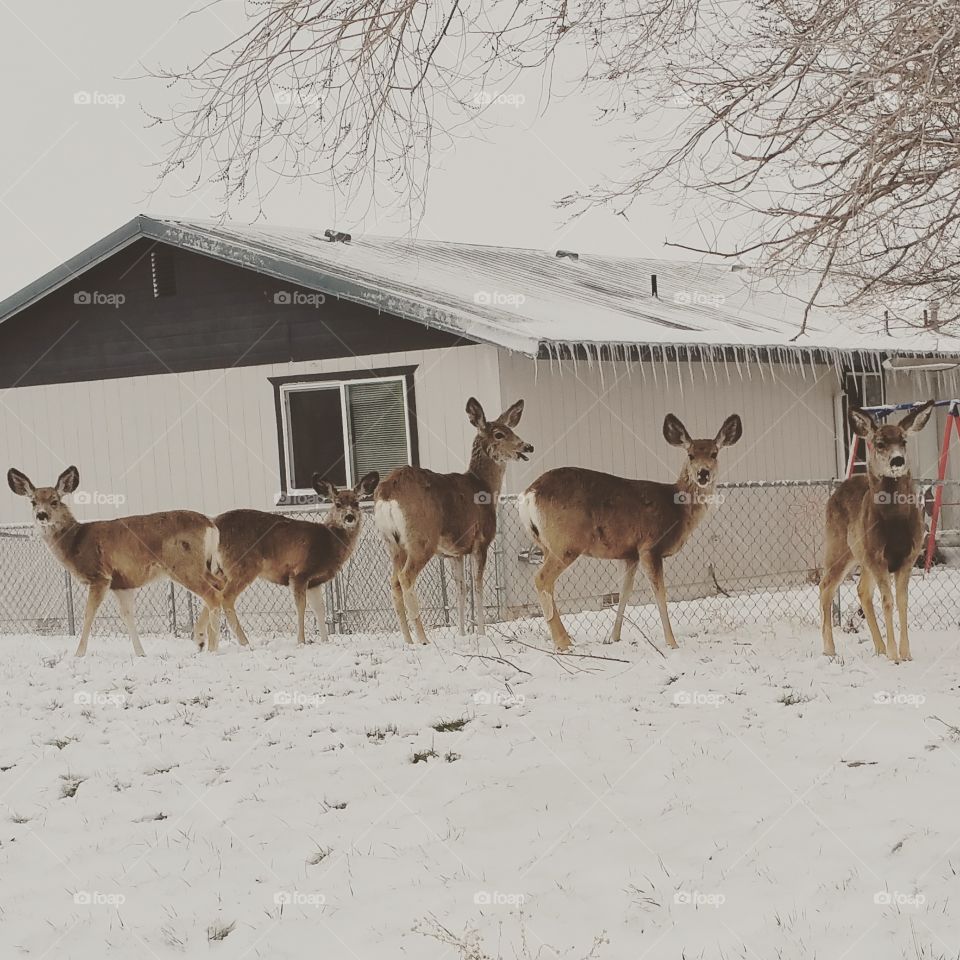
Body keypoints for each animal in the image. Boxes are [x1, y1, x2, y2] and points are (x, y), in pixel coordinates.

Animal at [6, 465, 224, 657]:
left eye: (54, 501)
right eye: (33, 502)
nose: (41, 515)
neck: (75, 541)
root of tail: (210, 525)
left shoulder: (100, 576)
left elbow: (88, 614)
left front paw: (78, 654)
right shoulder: (122, 584)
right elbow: (127, 616)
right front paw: (140, 653)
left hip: (183, 564)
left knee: (212, 594)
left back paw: (210, 647)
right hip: (204, 565)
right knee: (220, 586)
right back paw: (202, 640)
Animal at [193, 472, 380, 649]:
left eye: (356, 503)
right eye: (338, 503)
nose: (349, 517)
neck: (329, 542)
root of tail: (214, 526)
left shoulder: (315, 582)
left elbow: (319, 609)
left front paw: (325, 641)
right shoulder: (300, 573)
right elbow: (301, 607)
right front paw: (301, 641)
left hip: (220, 570)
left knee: (211, 597)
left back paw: (208, 646)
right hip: (242, 565)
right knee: (225, 597)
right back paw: (245, 643)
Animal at [374, 397, 533, 645]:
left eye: (511, 429)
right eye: (499, 434)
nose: (527, 447)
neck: (484, 487)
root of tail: (388, 491)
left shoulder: (453, 553)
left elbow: (461, 590)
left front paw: (461, 634)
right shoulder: (481, 541)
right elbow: (477, 586)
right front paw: (481, 633)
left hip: (392, 543)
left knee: (394, 581)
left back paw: (408, 641)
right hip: (421, 539)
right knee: (406, 577)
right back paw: (423, 639)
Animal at [518, 413, 743, 651]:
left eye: (714, 453)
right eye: (690, 455)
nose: (703, 473)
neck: (678, 508)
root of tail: (529, 493)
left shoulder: (629, 554)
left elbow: (624, 592)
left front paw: (613, 637)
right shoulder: (650, 546)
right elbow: (660, 594)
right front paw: (672, 643)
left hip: (545, 545)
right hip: (566, 543)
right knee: (541, 578)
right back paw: (563, 643)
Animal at [819, 401, 935, 663]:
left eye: (903, 440)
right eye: (879, 442)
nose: (897, 460)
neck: (895, 522)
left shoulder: (908, 556)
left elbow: (902, 601)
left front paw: (905, 653)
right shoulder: (877, 556)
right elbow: (888, 600)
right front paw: (894, 655)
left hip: (862, 557)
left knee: (862, 590)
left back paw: (878, 647)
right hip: (839, 547)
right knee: (826, 586)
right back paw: (829, 649)